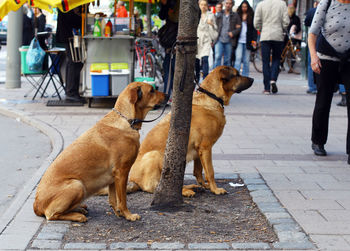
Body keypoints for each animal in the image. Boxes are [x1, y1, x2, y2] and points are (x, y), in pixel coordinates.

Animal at [33, 82, 167, 222]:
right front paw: (128, 215)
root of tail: (36, 205)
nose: (168, 95)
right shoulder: (122, 172)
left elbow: (113, 200)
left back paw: (79, 208)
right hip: (77, 185)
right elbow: (122, 200)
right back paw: (78, 216)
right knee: (51, 214)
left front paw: (119, 213)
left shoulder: (113, 177)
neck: (126, 120)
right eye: (152, 90)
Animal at [127, 65, 253, 197]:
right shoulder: (206, 147)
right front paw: (215, 189)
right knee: (156, 186)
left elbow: (198, 171)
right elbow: (210, 172)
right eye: (237, 75)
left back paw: (192, 187)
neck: (211, 96)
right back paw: (186, 191)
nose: (253, 79)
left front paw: (205, 185)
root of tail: (133, 181)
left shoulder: (199, 150)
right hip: (155, 156)